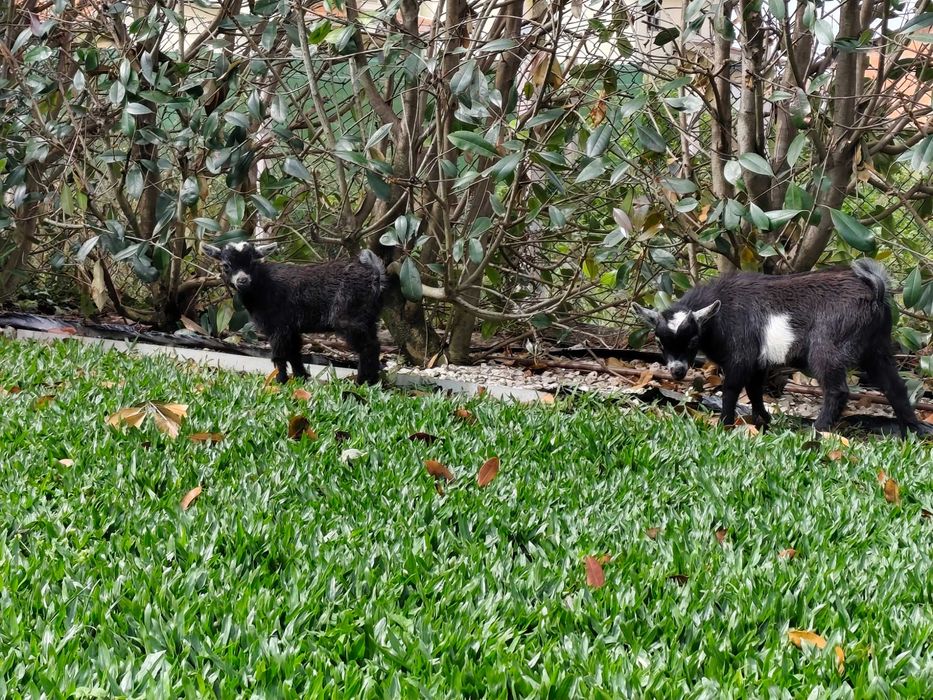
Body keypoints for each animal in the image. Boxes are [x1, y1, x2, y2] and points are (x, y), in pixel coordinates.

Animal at [203, 241, 387, 385]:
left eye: (252, 262)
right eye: (226, 265)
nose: (242, 280)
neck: (262, 284)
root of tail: (375, 274)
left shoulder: (278, 325)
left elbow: (279, 355)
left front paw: (280, 382)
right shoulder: (291, 328)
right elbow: (294, 353)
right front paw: (301, 379)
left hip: (349, 318)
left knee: (368, 347)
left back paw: (361, 382)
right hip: (369, 318)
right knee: (375, 344)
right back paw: (373, 381)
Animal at [632, 259, 932, 436]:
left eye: (693, 340)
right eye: (659, 341)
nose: (677, 371)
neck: (718, 313)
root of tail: (875, 291)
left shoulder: (741, 356)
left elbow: (731, 389)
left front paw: (725, 423)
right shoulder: (757, 361)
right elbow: (754, 389)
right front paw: (762, 420)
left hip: (828, 348)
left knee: (837, 389)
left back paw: (817, 429)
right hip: (876, 347)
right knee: (895, 387)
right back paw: (915, 429)